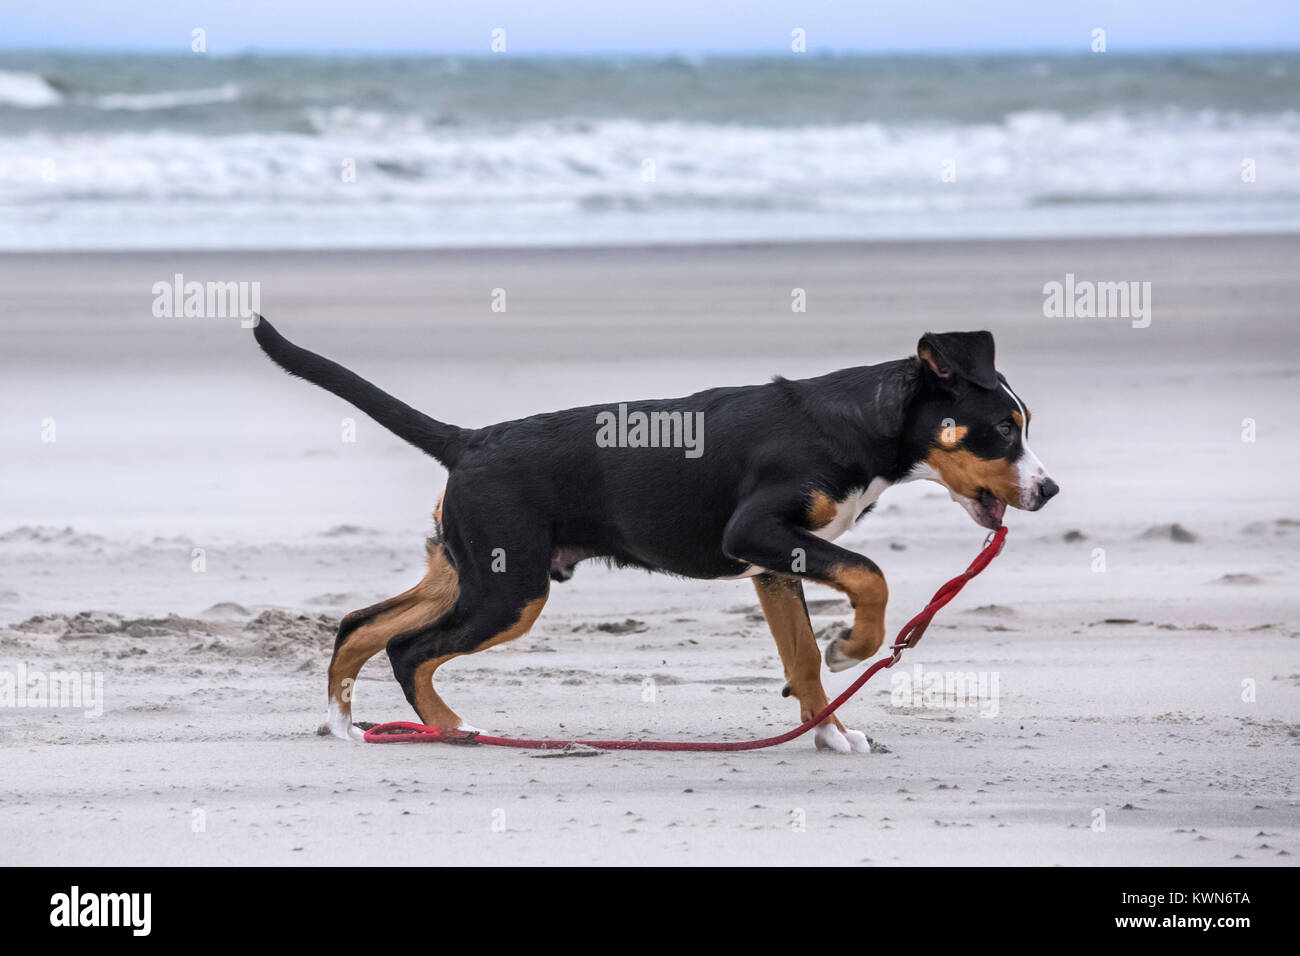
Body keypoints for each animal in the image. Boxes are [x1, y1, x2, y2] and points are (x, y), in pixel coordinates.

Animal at [253, 317, 1055, 749]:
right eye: (1000, 430)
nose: (1048, 491)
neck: (854, 422)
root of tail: (469, 440)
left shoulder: (775, 566)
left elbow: (803, 666)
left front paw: (828, 735)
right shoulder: (757, 531)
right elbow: (869, 577)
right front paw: (855, 645)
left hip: (469, 570)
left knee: (360, 626)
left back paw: (343, 726)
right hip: (512, 591)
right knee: (408, 648)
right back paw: (454, 727)